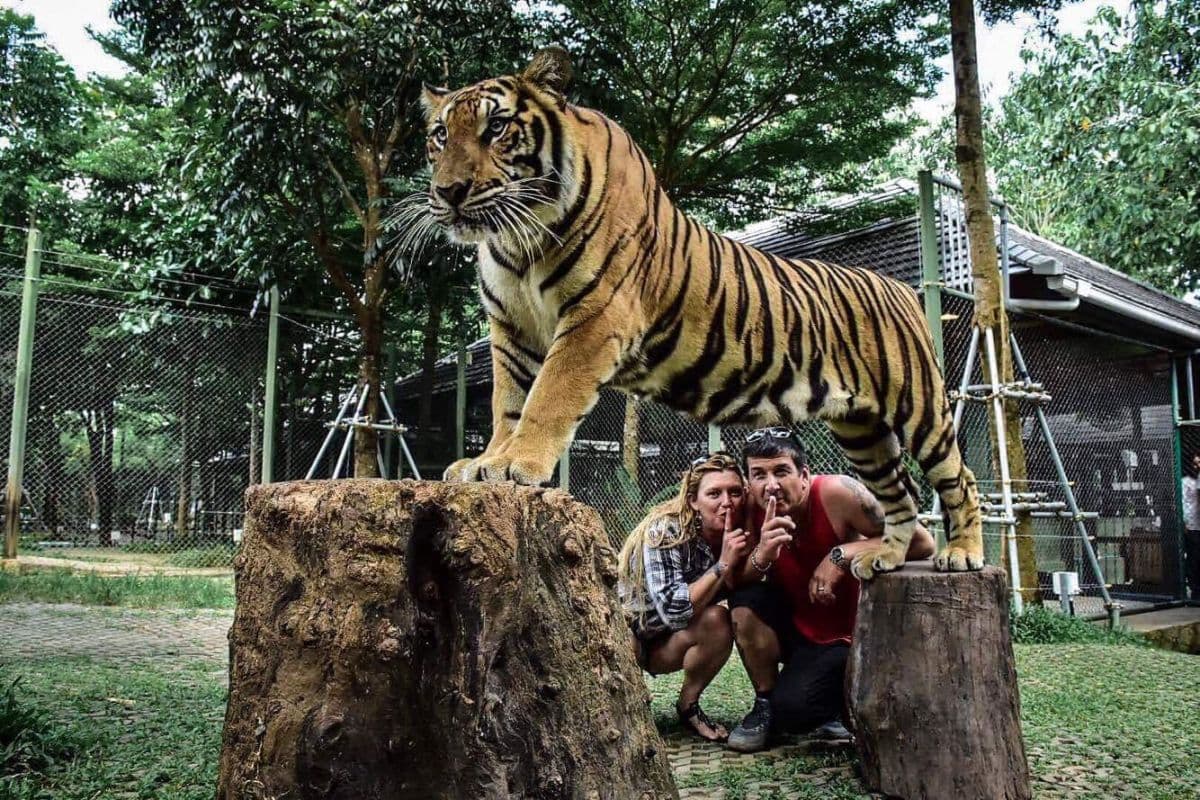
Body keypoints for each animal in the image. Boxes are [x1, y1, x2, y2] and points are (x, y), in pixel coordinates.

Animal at [416, 46, 983, 578]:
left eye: (496, 127)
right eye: (440, 135)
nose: (448, 192)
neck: (516, 238)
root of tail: (903, 287)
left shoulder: (594, 319)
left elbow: (547, 398)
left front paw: (518, 464)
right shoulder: (512, 330)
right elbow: (508, 404)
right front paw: (487, 462)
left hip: (920, 408)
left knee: (960, 477)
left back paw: (962, 554)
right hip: (861, 428)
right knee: (899, 493)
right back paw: (886, 556)